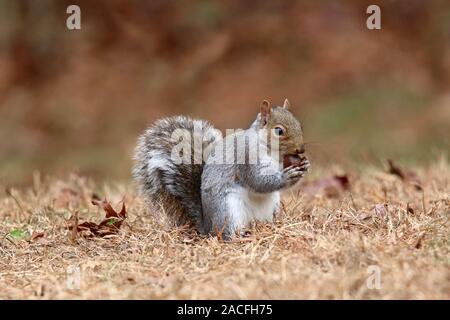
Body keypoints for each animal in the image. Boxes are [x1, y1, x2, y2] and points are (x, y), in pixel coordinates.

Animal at [132, 99, 312, 239]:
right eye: (279, 131)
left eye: (299, 125)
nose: (301, 150)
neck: (270, 150)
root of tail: (207, 227)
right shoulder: (246, 158)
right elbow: (258, 181)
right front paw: (287, 176)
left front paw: (305, 164)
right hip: (229, 209)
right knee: (227, 234)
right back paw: (240, 236)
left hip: (271, 206)